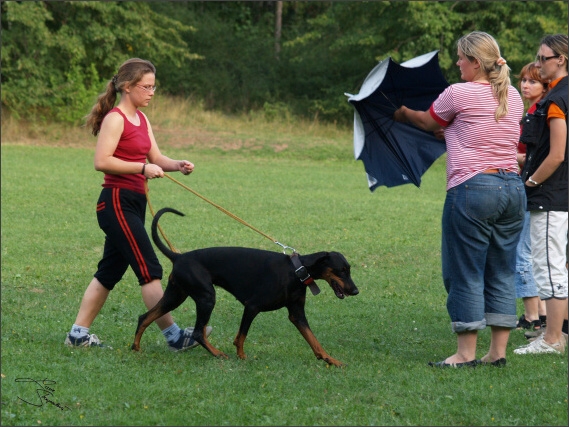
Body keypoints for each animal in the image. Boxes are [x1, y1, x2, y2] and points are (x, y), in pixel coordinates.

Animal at [131, 208, 358, 368]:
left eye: (349, 269)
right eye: (341, 270)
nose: (355, 291)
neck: (296, 271)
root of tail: (178, 256)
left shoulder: (297, 315)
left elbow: (314, 341)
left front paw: (331, 360)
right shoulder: (252, 306)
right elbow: (241, 336)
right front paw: (241, 357)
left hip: (176, 295)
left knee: (145, 317)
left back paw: (135, 348)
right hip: (206, 297)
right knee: (197, 333)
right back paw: (217, 353)